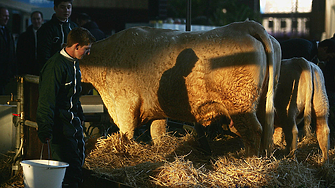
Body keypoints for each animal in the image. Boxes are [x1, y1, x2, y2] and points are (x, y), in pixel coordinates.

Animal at [80, 19, 282, 156]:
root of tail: (245, 26)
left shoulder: (125, 105)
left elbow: (126, 134)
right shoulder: (157, 109)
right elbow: (157, 133)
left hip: (240, 105)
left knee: (254, 131)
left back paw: (248, 160)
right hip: (262, 102)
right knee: (268, 129)